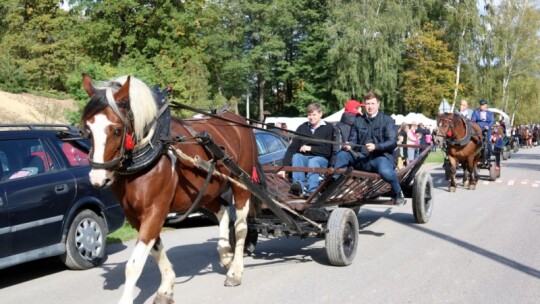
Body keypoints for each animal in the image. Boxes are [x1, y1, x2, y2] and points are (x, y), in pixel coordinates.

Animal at [80, 74, 258, 304]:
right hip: (206, 189)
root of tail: (237, 120)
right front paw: (166, 288)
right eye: (88, 129)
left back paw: (235, 270)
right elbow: (156, 250)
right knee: (223, 211)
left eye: (117, 130)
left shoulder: (155, 210)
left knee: (241, 226)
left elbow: (134, 264)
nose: (97, 179)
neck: (151, 150)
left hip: (240, 182)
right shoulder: (136, 215)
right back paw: (225, 253)